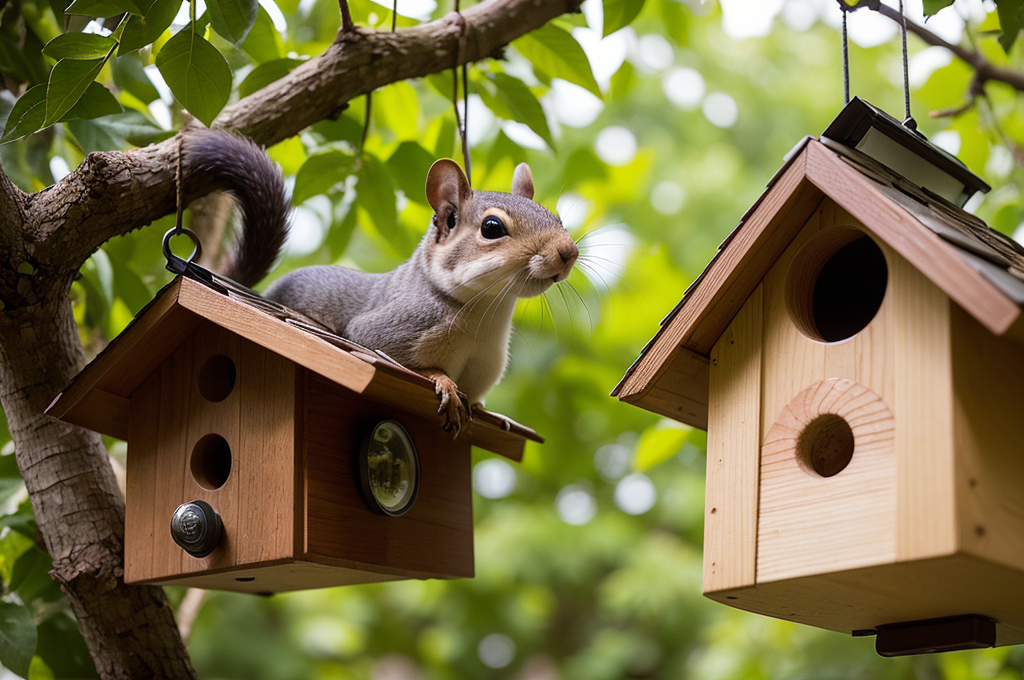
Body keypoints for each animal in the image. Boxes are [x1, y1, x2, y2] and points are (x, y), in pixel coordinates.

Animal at [182, 129, 577, 436]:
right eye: (492, 228)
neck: (487, 313)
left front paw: (485, 412)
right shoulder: (387, 328)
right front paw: (444, 383)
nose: (569, 252)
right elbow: (404, 361)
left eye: (556, 217)